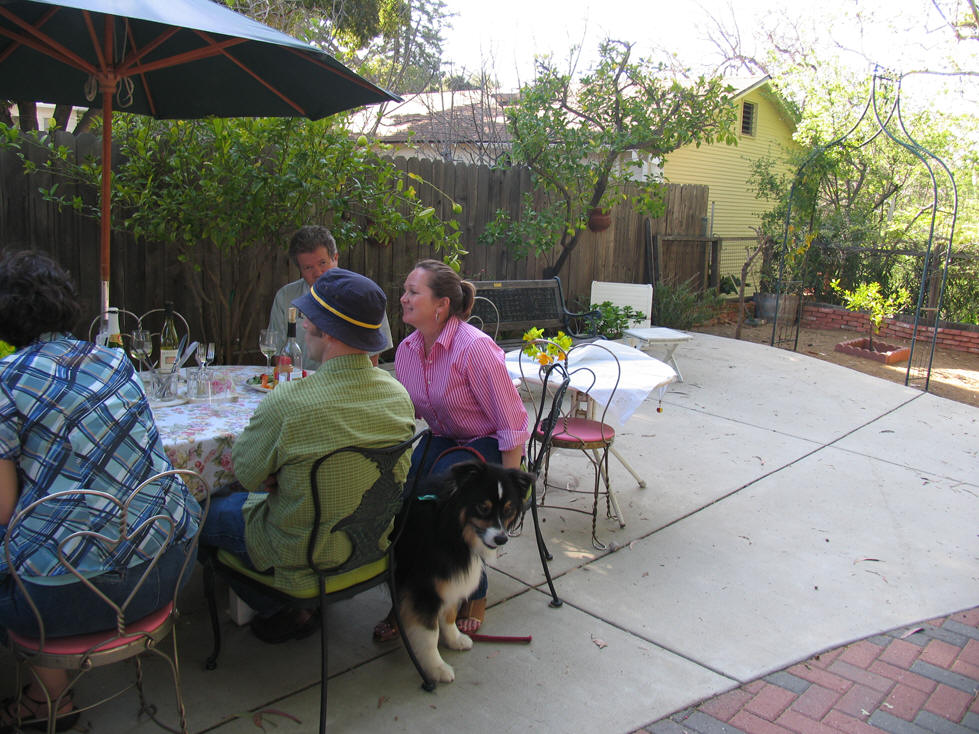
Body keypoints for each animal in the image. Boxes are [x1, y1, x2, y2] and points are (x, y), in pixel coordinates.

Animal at [393, 460, 534, 684]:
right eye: (483, 508)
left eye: (508, 509)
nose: (501, 539)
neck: (450, 527)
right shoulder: (424, 588)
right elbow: (430, 633)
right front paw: (436, 668)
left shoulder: (450, 580)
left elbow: (450, 614)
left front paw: (455, 639)